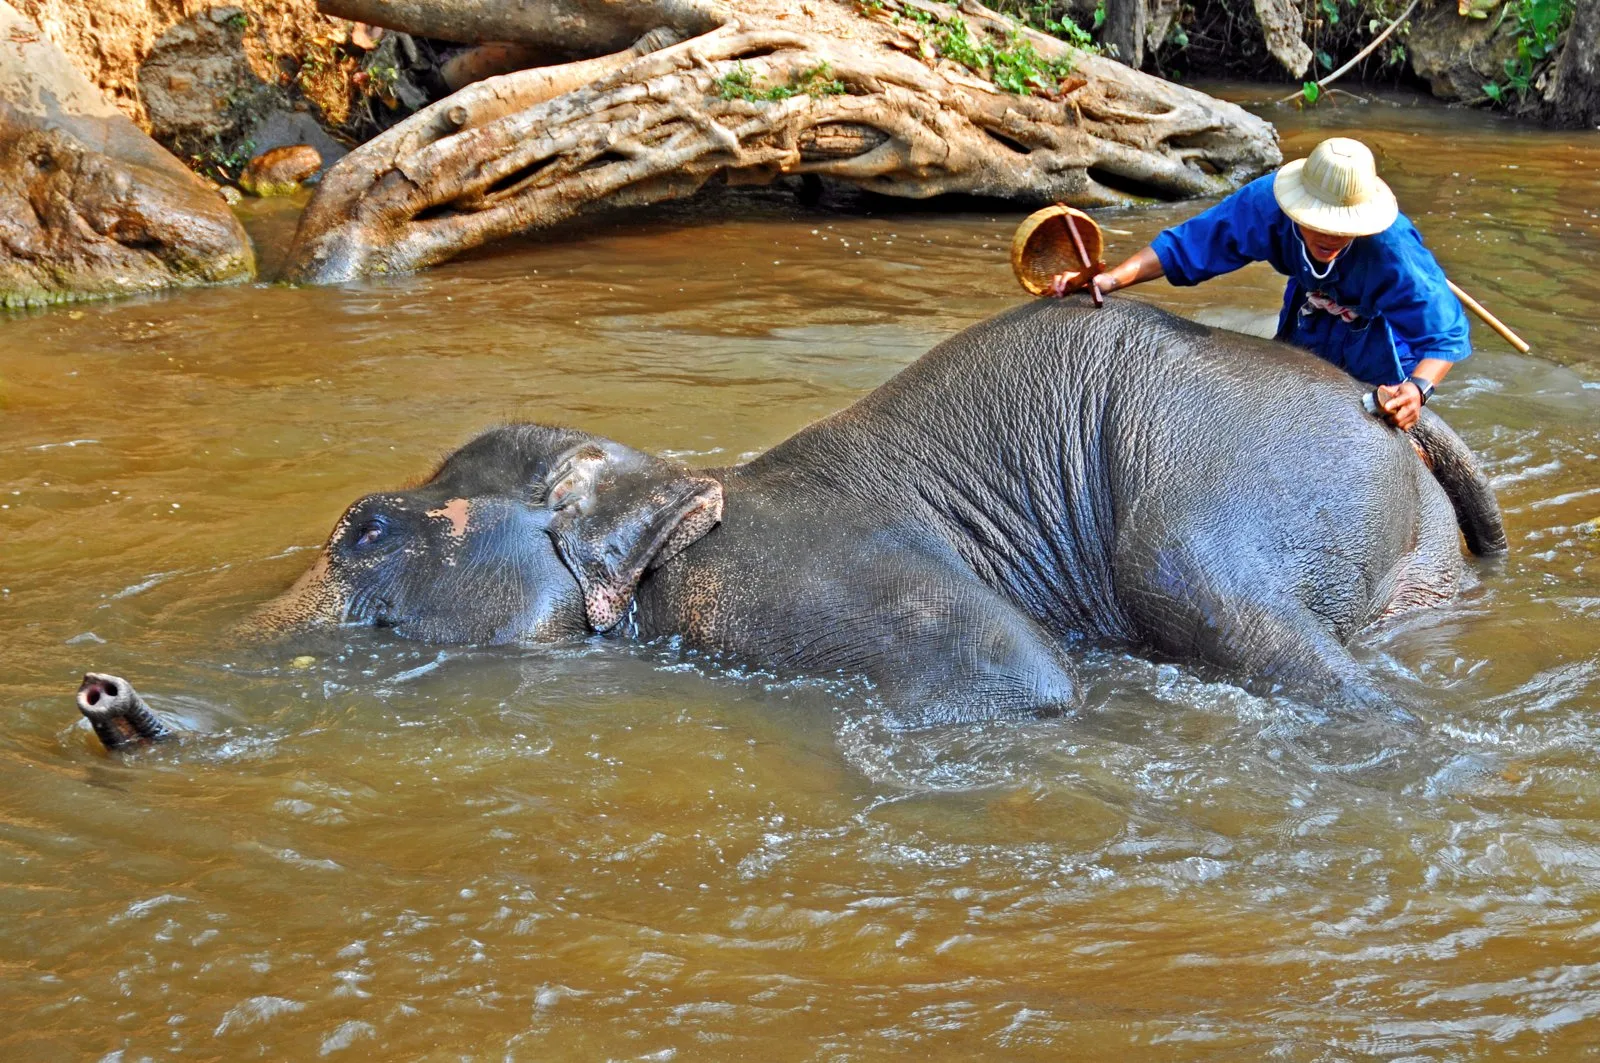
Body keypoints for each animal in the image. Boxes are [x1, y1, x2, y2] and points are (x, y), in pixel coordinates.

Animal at [78, 296, 1505, 748]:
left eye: (362, 528)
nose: (103, 694)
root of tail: (1398, 412)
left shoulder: (778, 576)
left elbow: (1021, 678)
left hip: (1221, 493)